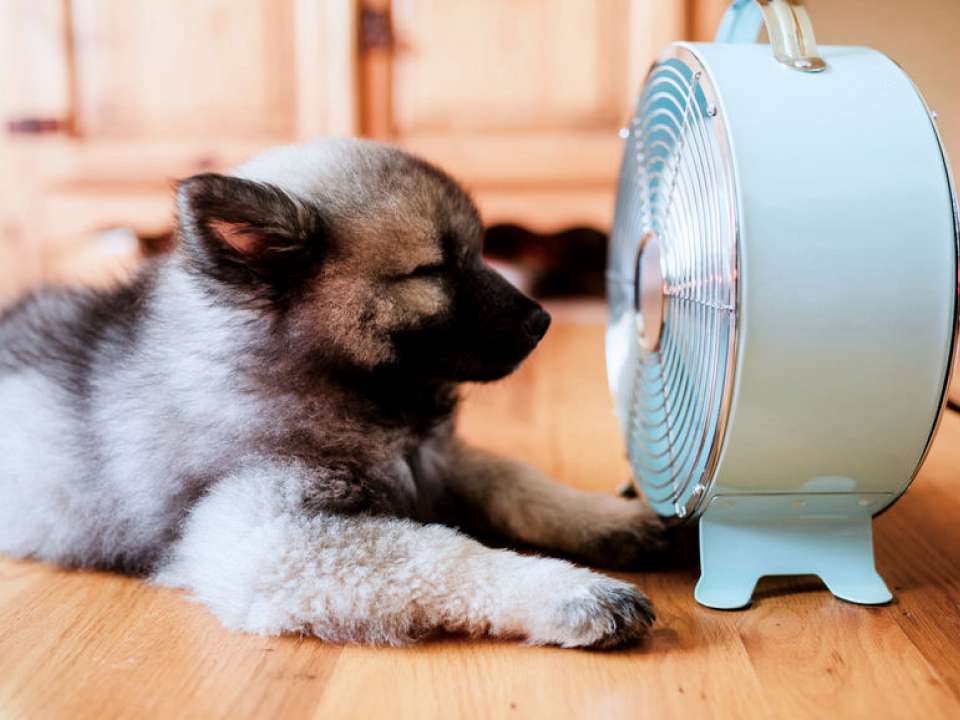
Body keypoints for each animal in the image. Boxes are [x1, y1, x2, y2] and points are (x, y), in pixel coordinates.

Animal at [0, 139, 660, 648]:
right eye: (434, 270)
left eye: (478, 252)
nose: (541, 320)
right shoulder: (265, 536)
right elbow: (443, 554)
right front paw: (574, 591)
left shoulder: (435, 458)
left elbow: (519, 481)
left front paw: (614, 519)